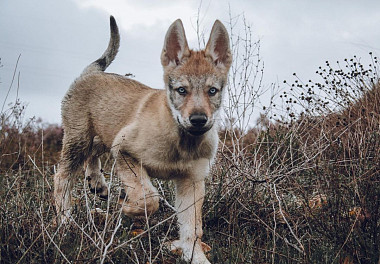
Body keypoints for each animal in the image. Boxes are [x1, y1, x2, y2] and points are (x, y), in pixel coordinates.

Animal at [53, 16, 232, 264]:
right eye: (181, 90)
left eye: (212, 91)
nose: (198, 120)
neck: (181, 141)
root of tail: (90, 73)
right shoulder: (125, 151)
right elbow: (150, 198)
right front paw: (127, 207)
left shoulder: (192, 181)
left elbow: (192, 229)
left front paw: (195, 257)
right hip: (79, 139)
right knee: (62, 178)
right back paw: (65, 220)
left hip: (102, 134)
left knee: (94, 152)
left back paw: (97, 182)